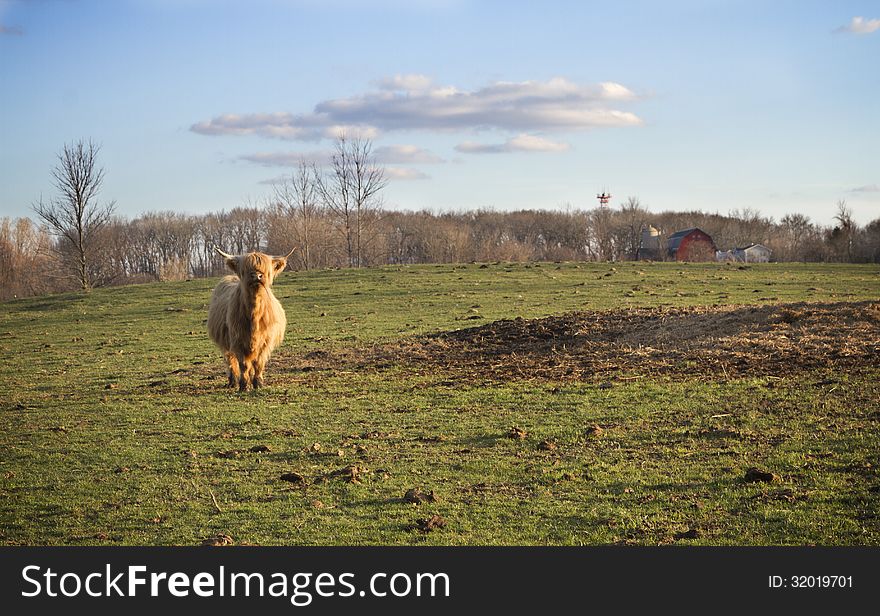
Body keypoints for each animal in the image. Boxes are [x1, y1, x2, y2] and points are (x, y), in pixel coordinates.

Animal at [207, 245, 296, 390]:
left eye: (265, 268)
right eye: (245, 268)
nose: (257, 275)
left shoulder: (266, 340)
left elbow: (258, 363)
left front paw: (258, 383)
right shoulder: (237, 340)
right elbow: (243, 364)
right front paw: (244, 385)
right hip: (225, 342)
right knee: (230, 359)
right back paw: (233, 381)